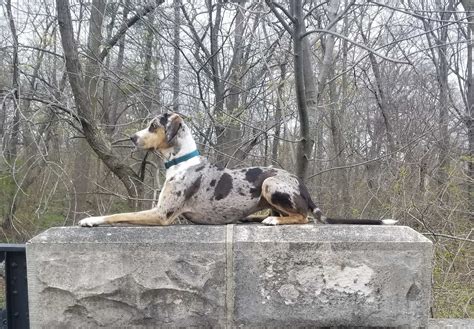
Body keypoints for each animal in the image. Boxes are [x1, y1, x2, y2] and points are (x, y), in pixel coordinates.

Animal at [78, 112, 396, 226]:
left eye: (154, 126)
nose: (132, 138)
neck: (181, 161)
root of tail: (301, 183)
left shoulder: (161, 214)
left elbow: (117, 215)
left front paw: (91, 219)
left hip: (270, 183)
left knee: (302, 217)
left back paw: (272, 221)